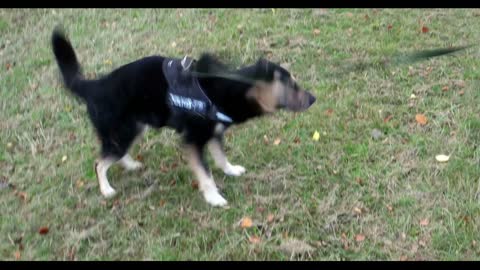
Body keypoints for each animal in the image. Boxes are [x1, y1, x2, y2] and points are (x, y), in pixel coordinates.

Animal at [51, 28, 316, 207]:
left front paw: (230, 170)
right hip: (123, 131)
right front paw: (214, 198)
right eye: (292, 86)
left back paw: (130, 165)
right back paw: (106, 189)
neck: (228, 88)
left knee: (113, 154)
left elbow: (221, 158)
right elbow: (205, 174)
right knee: (100, 162)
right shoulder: (193, 140)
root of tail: (94, 86)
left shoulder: (214, 134)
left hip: (132, 129)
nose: (313, 98)